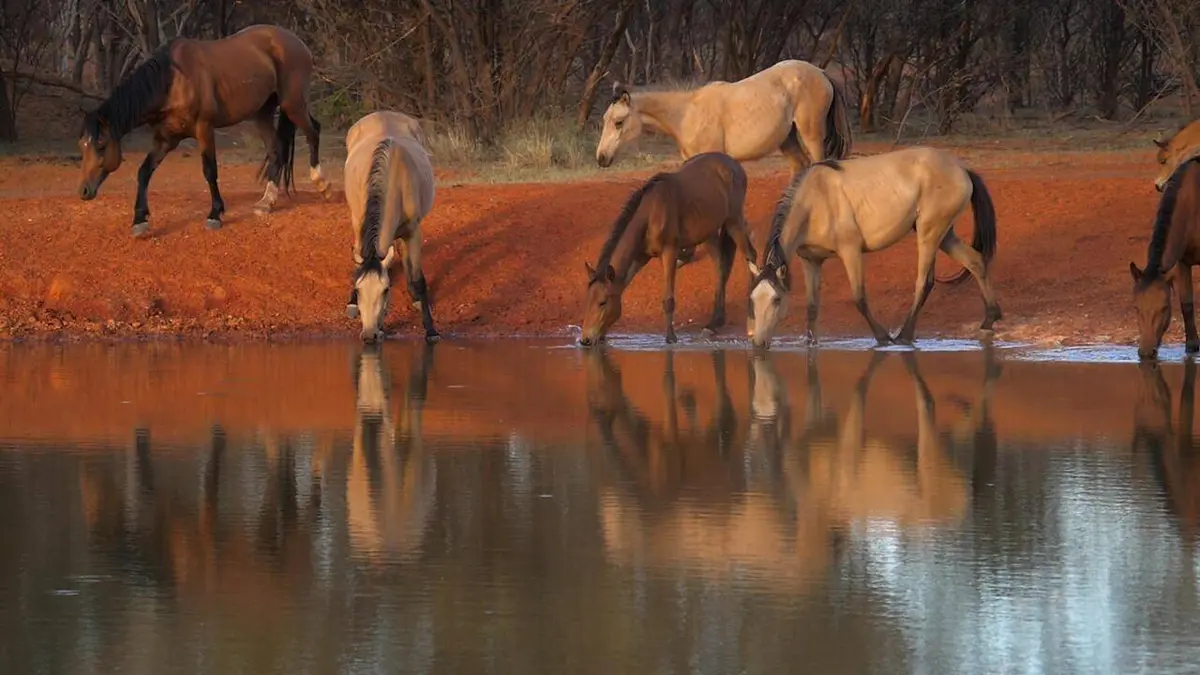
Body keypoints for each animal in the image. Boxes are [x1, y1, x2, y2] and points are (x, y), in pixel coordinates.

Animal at [76, 24, 332, 238]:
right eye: (82, 146)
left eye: (101, 145)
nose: (84, 191)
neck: (173, 81)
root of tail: (296, 41)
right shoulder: (165, 139)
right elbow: (144, 172)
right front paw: (140, 220)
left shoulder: (204, 129)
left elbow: (209, 171)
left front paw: (214, 215)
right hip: (262, 113)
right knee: (277, 149)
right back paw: (266, 202)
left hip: (293, 104)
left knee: (314, 131)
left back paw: (322, 185)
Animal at [343, 110, 439, 344]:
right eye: (358, 290)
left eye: (386, 290)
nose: (369, 334)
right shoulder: (358, 222)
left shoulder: (413, 232)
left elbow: (418, 278)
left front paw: (430, 329)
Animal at [579, 152, 759, 346]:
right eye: (587, 301)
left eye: (602, 302)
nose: (585, 340)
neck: (651, 213)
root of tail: (735, 164)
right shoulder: (640, 257)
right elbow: (622, 284)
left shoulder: (669, 252)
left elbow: (668, 300)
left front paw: (671, 337)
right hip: (709, 233)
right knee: (721, 265)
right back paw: (714, 323)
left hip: (734, 221)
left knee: (750, 255)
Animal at [746, 146, 1001, 349]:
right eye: (752, 300)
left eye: (776, 299)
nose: (758, 343)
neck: (814, 202)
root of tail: (962, 169)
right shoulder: (811, 261)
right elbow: (812, 307)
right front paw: (812, 345)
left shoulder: (851, 252)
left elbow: (859, 299)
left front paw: (883, 338)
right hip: (945, 235)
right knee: (975, 261)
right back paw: (990, 319)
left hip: (929, 233)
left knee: (924, 282)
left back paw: (903, 336)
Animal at [1129, 157, 1200, 361]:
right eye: (1136, 308)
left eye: (1164, 308)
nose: (1146, 352)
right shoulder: (1183, 262)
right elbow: (1187, 303)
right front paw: (1192, 345)